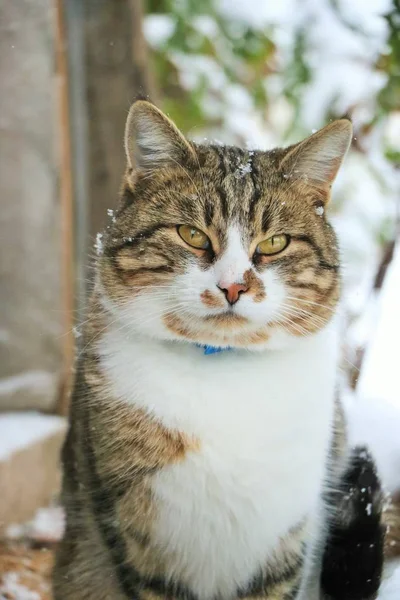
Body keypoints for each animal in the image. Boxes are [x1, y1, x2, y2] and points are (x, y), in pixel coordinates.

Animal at [53, 101, 388, 596]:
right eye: (192, 235)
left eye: (274, 243)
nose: (232, 286)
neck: (223, 368)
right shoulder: (139, 538)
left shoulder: (284, 540)